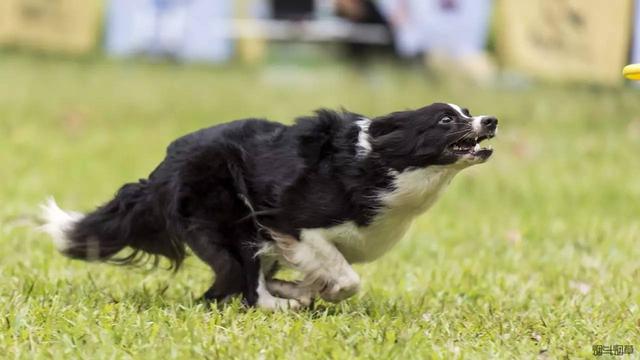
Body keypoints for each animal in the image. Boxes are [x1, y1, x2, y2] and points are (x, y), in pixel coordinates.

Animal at [42, 102, 498, 310]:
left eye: (468, 111)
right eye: (445, 120)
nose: (491, 120)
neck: (379, 163)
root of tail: (160, 171)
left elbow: (328, 275)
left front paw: (304, 288)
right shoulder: (294, 225)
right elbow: (347, 278)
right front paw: (310, 292)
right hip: (233, 219)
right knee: (243, 288)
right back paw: (282, 304)